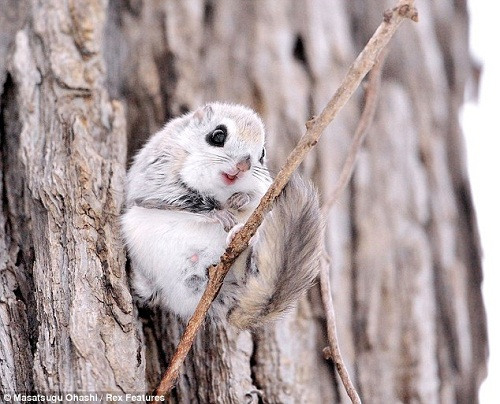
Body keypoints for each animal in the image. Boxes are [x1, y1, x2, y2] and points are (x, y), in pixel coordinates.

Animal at [123, 102, 322, 328]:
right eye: (217, 136)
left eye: (262, 154)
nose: (243, 165)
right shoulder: (158, 177)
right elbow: (182, 199)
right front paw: (220, 214)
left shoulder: (264, 187)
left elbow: (257, 198)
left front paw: (241, 199)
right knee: (150, 292)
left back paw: (239, 239)